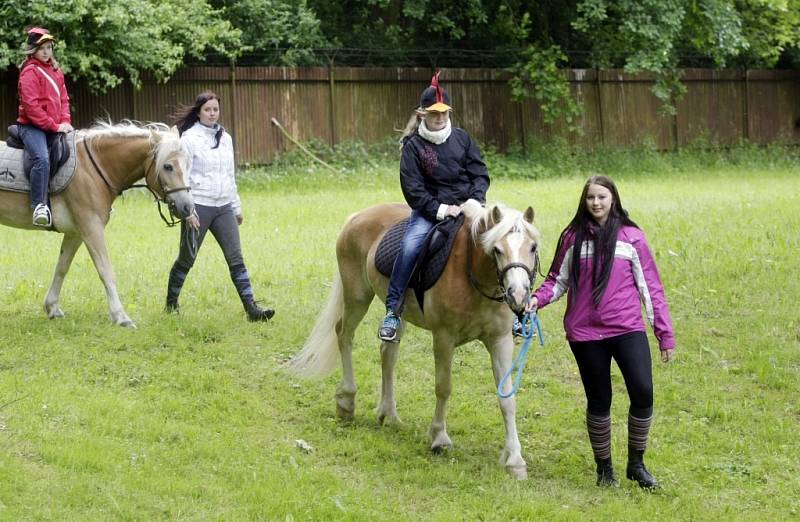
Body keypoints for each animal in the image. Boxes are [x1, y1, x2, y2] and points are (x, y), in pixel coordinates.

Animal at [0, 121, 194, 324]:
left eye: (187, 164)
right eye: (168, 166)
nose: (187, 207)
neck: (93, 169)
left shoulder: (76, 233)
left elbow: (62, 267)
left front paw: (52, 307)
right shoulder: (92, 228)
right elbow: (106, 270)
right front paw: (120, 316)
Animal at [290, 201, 540, 478]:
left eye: (532, 247)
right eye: (497, 249)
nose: (518, 294)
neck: (473, 273)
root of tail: (357, 217)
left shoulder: (500, 340)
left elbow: (507, 398)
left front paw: (515, 460)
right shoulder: (443, 337)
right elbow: (443, 387)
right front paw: (439, 437)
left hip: (398, 312)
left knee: (387, 353)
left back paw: (388, 413)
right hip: (357, 296)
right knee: (344, 335)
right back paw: (346, 401)